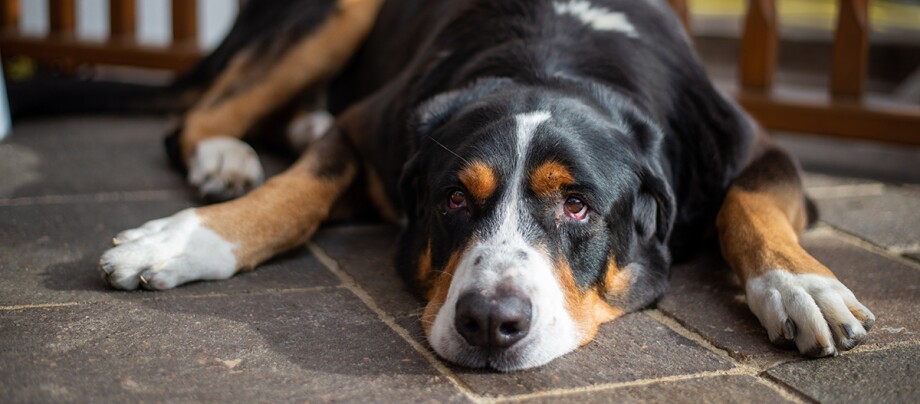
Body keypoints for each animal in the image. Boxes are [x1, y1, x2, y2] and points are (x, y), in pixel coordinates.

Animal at [90, 0, 880, 372]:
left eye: (577, 205)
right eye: (454, 200)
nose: (491, 323)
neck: (551, 57)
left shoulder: (757, 150)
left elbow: (747, 207)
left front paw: (800, 286)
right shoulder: (366, 125)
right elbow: (298, 190)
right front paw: (184, 239)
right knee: (193, 119)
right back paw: (225, 156)